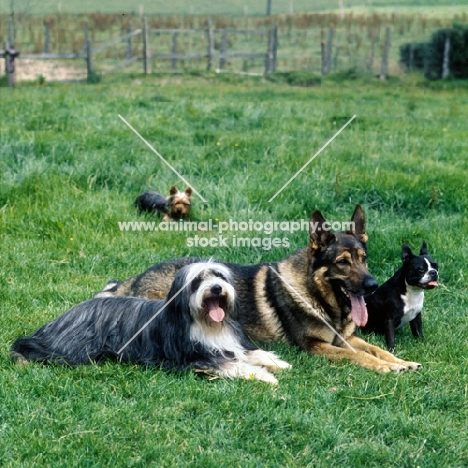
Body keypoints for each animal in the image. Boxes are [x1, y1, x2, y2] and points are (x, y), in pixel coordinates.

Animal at [10, 262, 288, 386]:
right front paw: (265, 376)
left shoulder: (230, 344)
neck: (207, 324)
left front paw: (277, 362)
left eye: (219, 275)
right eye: (198, 281)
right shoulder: (196, 357)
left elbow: (250, 353)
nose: (217, 288)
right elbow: (233, 365)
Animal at [97, 207, 422, 374]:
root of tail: (137, 278)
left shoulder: (347, 338)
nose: (373, 286)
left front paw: (402, 362)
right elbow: (359, 357)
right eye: (343, 262)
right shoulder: (316, 347)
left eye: (363, 259)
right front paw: (386, 368)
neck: (316, 296)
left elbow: (377, 349)